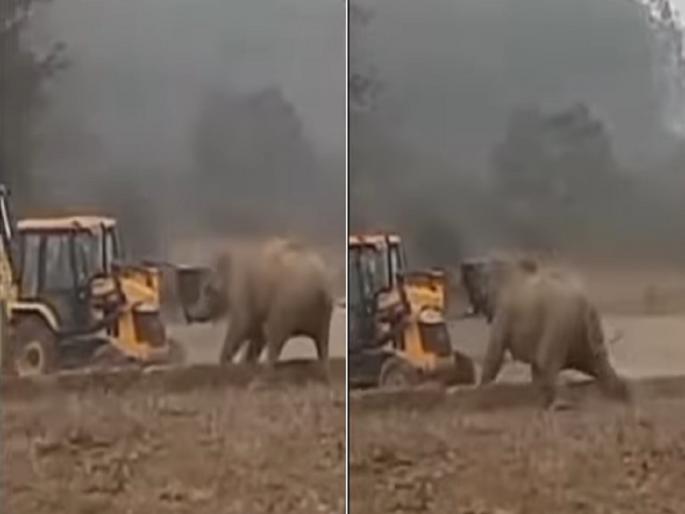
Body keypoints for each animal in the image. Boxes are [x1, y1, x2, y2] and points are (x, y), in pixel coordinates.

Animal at [185, 238, 333, 371]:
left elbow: (242, 324)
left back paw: (267, 369)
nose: (189, 315)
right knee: (322, 344)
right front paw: (244, 364)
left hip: (289, 302)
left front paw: (226, 363)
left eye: (207, 291)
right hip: (321, 313)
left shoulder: (241, 290)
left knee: (274, 336)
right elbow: (256, 331)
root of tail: (323, 286)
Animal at [474, 256, 629, 409]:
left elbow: (496, 350)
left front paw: (482, 389)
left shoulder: (505, 312)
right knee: (598, 362)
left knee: (548, 365)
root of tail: (588, 304)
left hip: (560, 326)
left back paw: (559, 404)